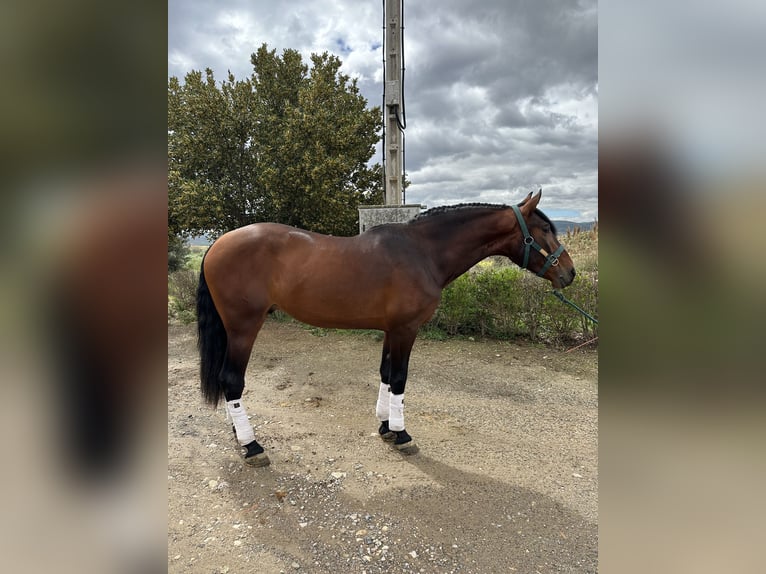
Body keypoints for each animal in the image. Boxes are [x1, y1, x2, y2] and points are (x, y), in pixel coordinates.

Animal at [196, 190, 575, 466]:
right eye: (544, 230)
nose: (570, 274)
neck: (422, 252)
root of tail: (216, 244)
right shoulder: (407, 329)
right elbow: (400, 378)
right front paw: (402, 434)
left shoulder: (392, 330)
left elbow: (385, 374)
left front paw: (384, 426)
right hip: (244, 327)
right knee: (231, 380)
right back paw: (252, 446)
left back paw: (239, 436)